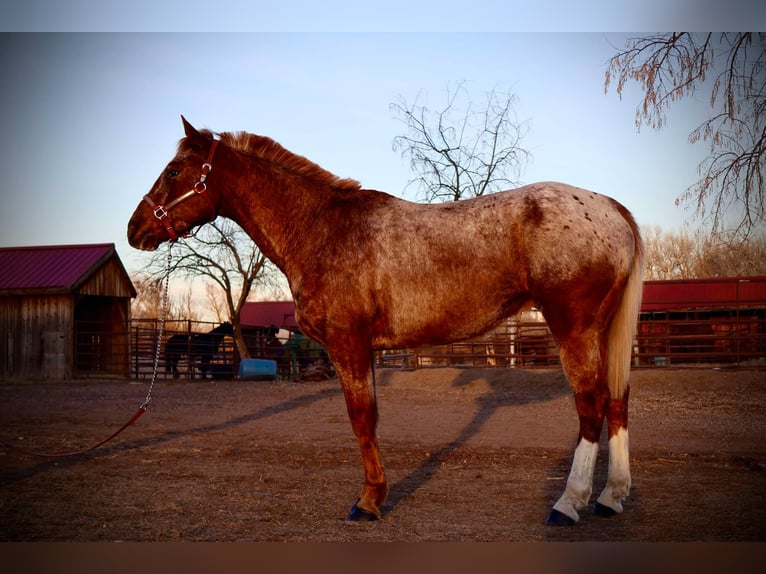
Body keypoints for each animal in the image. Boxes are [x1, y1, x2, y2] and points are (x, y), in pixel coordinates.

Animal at [129, 118, 644, 532]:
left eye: (173, 171)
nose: (136, 229)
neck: (323, 230)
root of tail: (610, 207)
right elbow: (370, 419)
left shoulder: (348, 345)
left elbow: (362, 419)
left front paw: (369, 501)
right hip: (602, 333)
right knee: (617, 402)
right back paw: (611, 497)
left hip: (574, 330)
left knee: (591, 408)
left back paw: (568, 503)